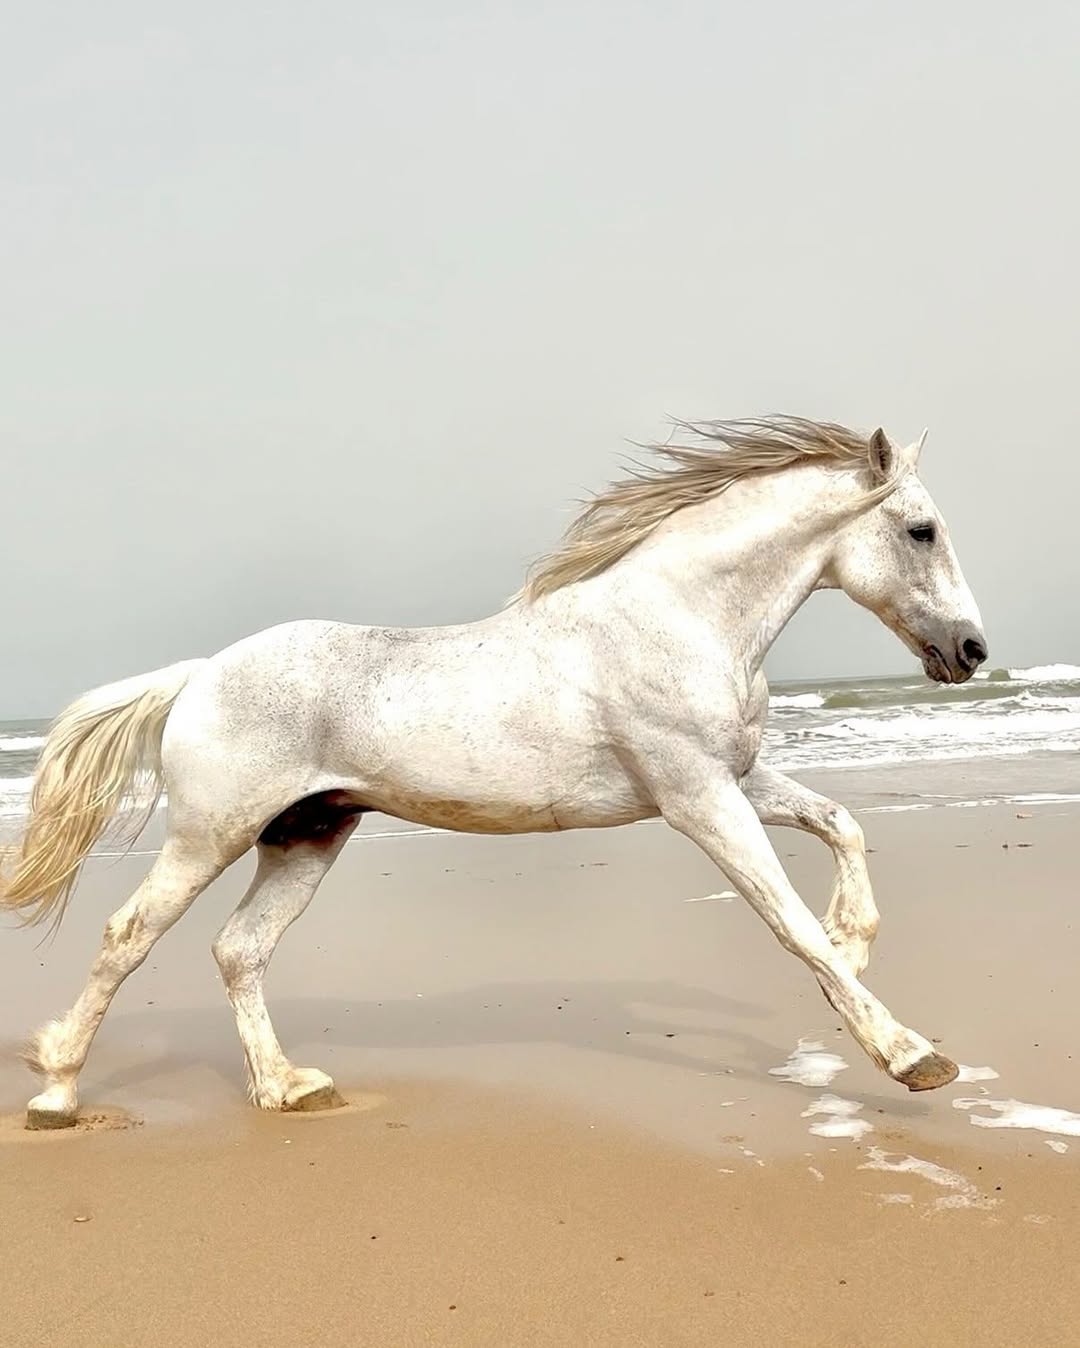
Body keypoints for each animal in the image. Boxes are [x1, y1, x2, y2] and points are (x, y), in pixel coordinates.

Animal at [1, 416, 987, 1129]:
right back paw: (56, 1094)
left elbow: (841, 827)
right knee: (127, 937)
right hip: (213, 833)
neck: (680, 619)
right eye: (921, 529)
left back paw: (291, 1088)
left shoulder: (734, 780)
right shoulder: (697, 798)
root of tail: (198, 674)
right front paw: (912, 1056)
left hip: (309, 833)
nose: (972, 652)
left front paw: (857, 937)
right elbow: (791, 927)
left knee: (238, 950)